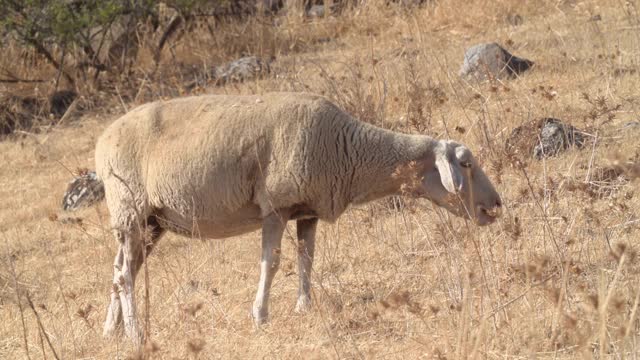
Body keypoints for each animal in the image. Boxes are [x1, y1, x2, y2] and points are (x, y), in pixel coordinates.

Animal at [63, 91, 504, 342]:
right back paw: (135, 334)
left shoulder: (306, 210)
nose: (496, 206)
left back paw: (110, 332)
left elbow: (307, 258)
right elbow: (271, 262)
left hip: (150, 222)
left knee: (121, 271)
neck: (348, 149)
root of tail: (101, 144)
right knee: (124, 275)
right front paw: (260, 316)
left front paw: (304, 307)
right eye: (466, 164)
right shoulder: (275, 206)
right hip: (129, 207)